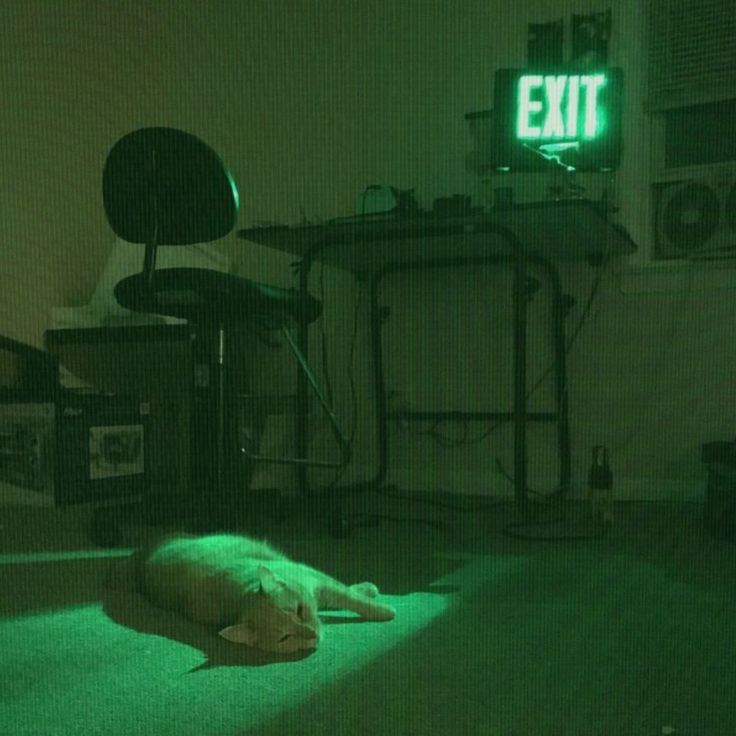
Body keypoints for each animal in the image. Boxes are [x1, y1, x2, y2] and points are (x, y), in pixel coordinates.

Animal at [134, 532, 394, 652]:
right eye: (284, 638)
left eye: (299, 611)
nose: (311, 634)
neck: (240, 592)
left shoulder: (316, 578)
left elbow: (351, 598)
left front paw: (383, 610)